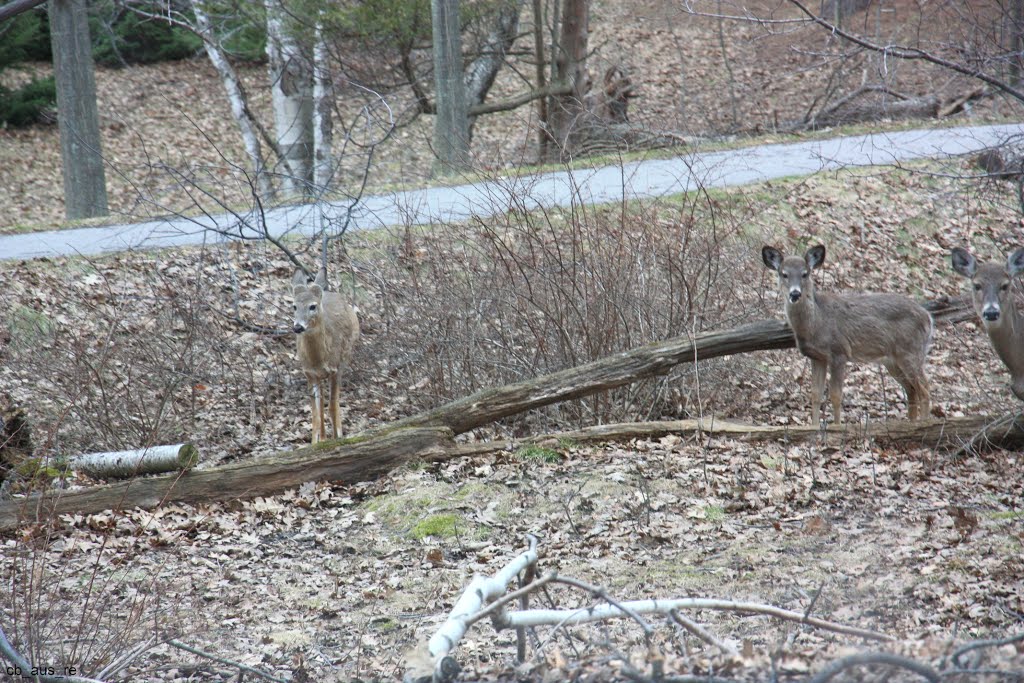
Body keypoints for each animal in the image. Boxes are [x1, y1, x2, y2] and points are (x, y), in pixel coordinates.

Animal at [292, 264, 360, 446]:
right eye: (294, 306)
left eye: (312, 306)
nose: (298, 327)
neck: (318, 359)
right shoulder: (309, 374)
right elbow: (316, 412)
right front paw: (317, 442)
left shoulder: (335, 369)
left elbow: (332, 405)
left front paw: (336, 438)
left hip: (345, 358)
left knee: (335, 402)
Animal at [761, 242, 937, 423]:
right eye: (784, 274)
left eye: (805, 273)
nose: (795, 293)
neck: (817, 322)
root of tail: (928, 317)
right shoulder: (817, 357)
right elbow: (815, 395)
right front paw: (814, 426)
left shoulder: (839, 352)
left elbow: (835, 395)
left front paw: (837, 426)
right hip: (892, 361)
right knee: (912, 390)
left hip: (910, 351)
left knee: (925, 389)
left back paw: (923, 423)